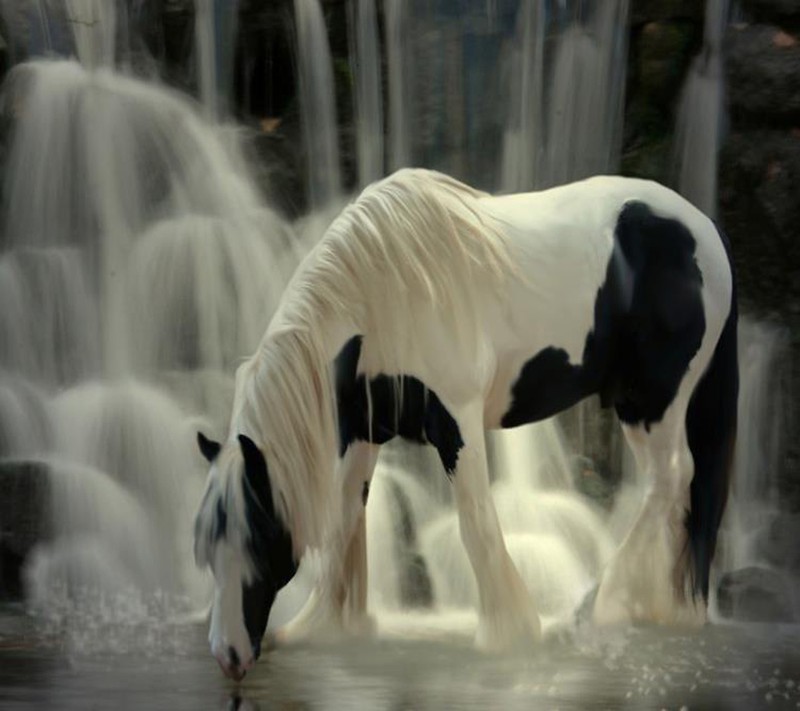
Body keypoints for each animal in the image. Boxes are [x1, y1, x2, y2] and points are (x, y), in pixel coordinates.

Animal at [192, 167, 736, 680]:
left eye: (257, 537)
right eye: (206, 546)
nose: (227, 656)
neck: (383, 296)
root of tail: (706, 231)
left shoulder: (458, 421)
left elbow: (476, 524)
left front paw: (509, 634)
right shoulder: (364, 434)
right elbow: (345, 519)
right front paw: (320, 626)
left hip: (652, 402)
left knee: (670, 480)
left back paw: (592, 610)